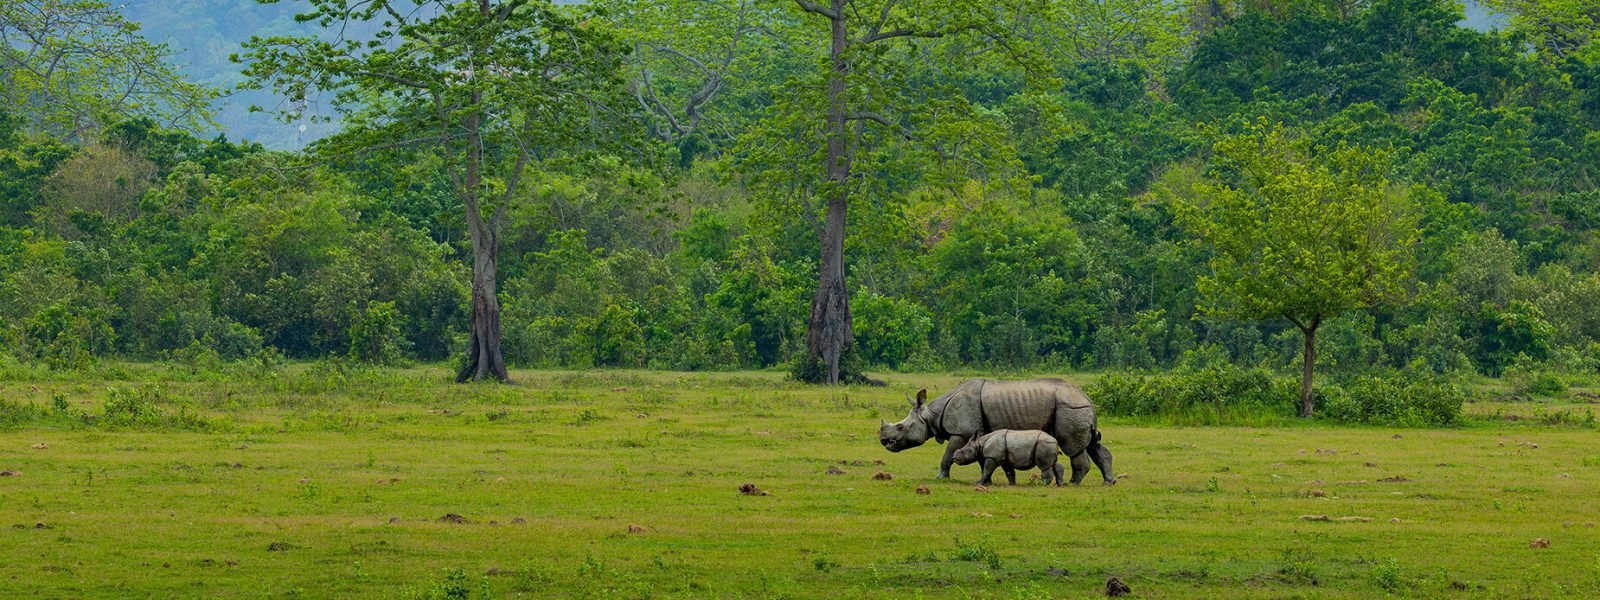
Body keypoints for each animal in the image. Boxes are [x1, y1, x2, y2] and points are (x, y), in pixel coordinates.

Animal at [878, 378, 1115, 484]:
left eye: (900, 427)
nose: (883, 440)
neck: (931, 415)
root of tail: (1087, 398)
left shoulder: (961, 433)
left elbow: (947, 455)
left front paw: (940, 477)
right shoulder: (978, 433)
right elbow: (982, 459)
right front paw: (987, 482)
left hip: (1069, 409)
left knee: (1073, 448)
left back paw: (1073, 483)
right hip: (1078, 409)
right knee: (1093, 444)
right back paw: (1108, 482)